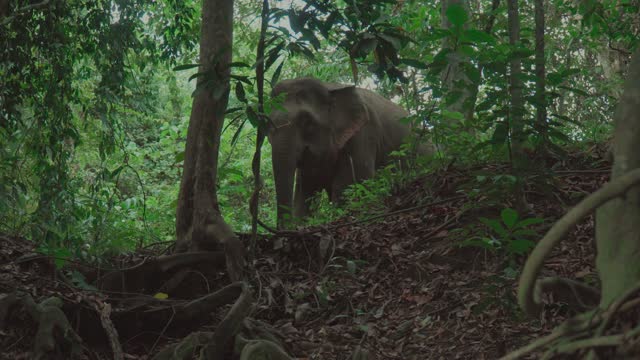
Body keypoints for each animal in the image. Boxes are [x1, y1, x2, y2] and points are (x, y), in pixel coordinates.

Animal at [264, 76, 430, 228]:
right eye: (267, 123)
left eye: (307, 121)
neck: (328, 87)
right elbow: (305, 190)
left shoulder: (364, 134)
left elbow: (349, 185)